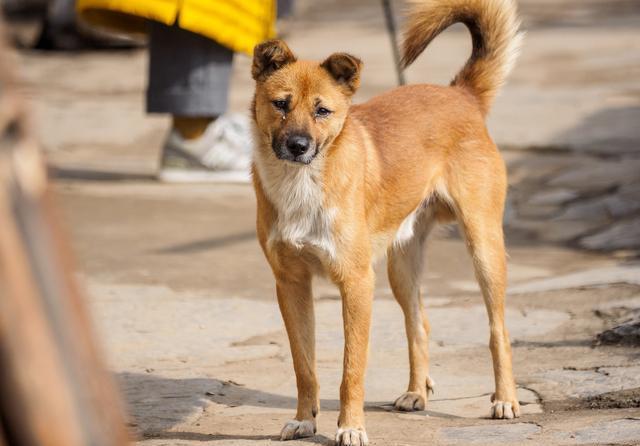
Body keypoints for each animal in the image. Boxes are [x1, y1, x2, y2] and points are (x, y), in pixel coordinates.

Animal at [250, 0, 522, 444]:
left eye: (322, 111)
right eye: (280, 104)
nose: (298, 145)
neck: (301, 184)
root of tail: (460, 94)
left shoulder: (356, 283)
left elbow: (351, 370)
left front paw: (351, 427)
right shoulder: (291, 284)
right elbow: (304, 365)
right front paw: (305, 420)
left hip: (484, 247)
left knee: (498, 330)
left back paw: (505, 399)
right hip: (401, 267)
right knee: (419, 324)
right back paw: (416, 392)